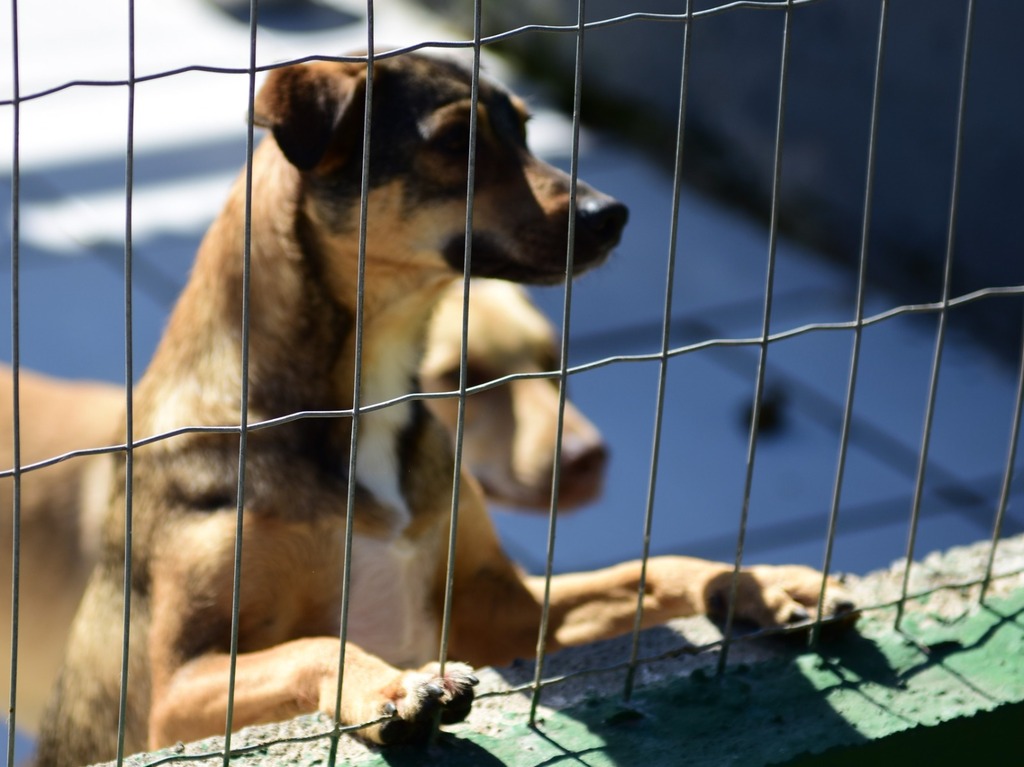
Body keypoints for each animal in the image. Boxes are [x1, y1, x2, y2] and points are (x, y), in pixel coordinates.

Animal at [34, 53, 847, 765]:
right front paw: (388, 683)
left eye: (525, 129)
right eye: (457, 142)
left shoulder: (507, 612)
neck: (369, 393)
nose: (612, 213)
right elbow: (314, 646)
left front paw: (760, 584)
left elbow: (651, 569)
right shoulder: (178, 688)